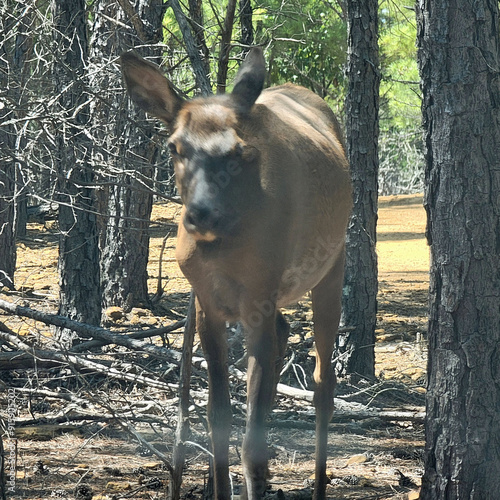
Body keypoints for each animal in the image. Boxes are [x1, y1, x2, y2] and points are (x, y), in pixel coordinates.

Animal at [120, 47, 352, 500]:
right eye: (175, 146)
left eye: (242, 153)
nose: (201, 214)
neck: (223, 252)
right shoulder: (208, 304)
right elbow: (219, 420)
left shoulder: (257, 298)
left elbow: (249, 439)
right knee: (284, 335)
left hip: (331, 265)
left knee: (323, 384)